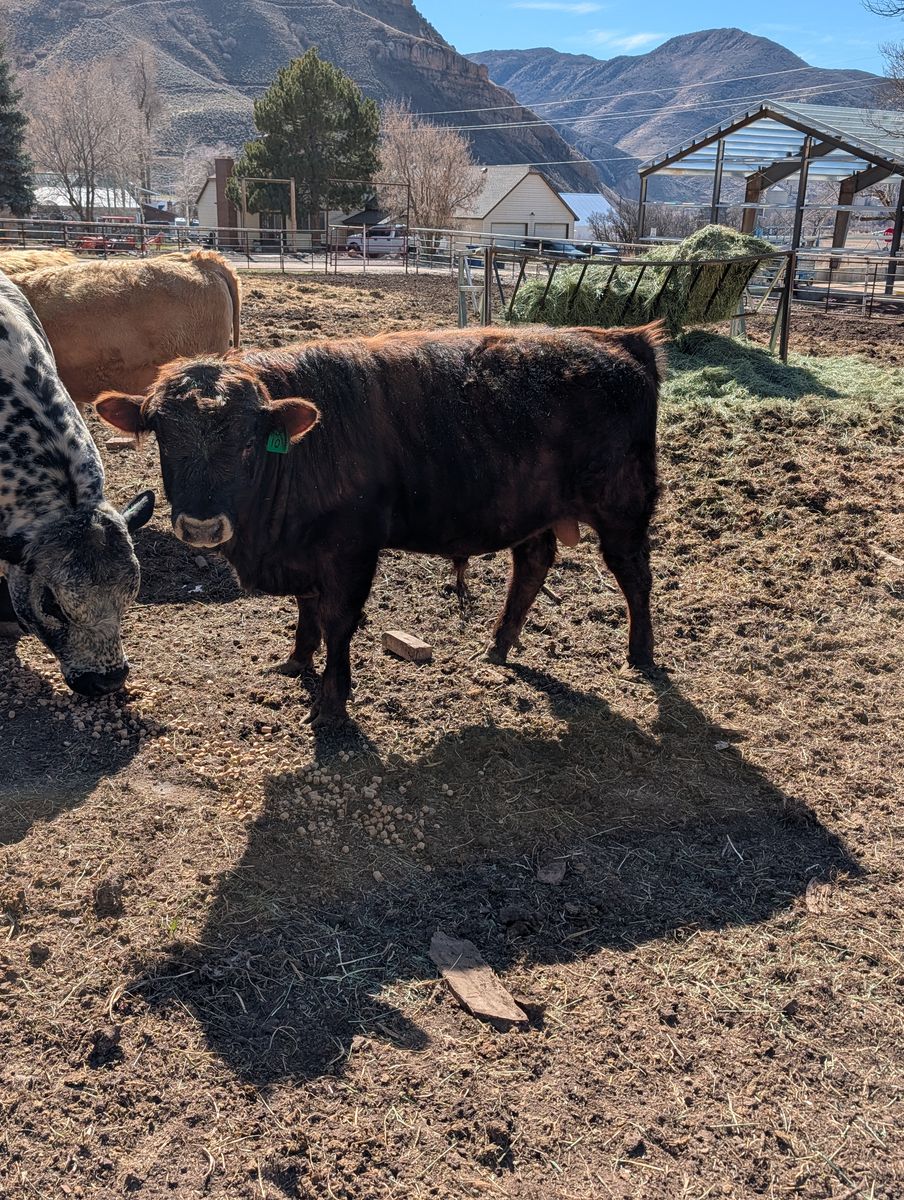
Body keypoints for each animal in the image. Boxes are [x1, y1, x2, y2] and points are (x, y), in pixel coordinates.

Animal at [96, 324, 662, 725]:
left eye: (247, 441)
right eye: (162, 435)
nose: (201, 527)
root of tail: (619, 339)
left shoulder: (350, 548)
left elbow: (338, 621)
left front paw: (331, 702)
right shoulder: (305, 552)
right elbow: (306, 611)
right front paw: (296, 660)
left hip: (622, 508)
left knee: (634, 574)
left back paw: (639, 655)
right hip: (531, 509)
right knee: (532, 565)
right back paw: (498, 647)